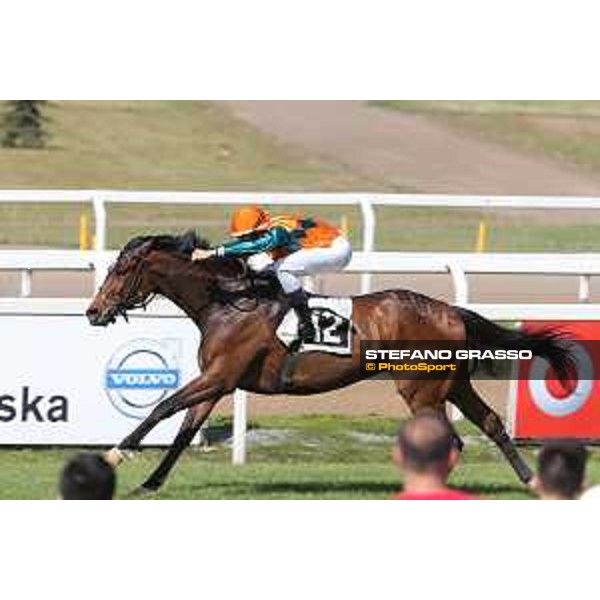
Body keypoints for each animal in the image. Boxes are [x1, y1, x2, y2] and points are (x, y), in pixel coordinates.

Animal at [85, 231, 576, 492]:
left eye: (122, 270)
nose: (93, 311)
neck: (228, 302)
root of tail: (450, 311)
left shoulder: (219, 374)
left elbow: (162, 407)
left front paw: (113, 455)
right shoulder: (219, 381)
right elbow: (185, 430)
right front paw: (150, 483)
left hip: (420, 388)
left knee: (449, 438)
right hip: (451, 384)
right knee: (490, 423)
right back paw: (530, 481)